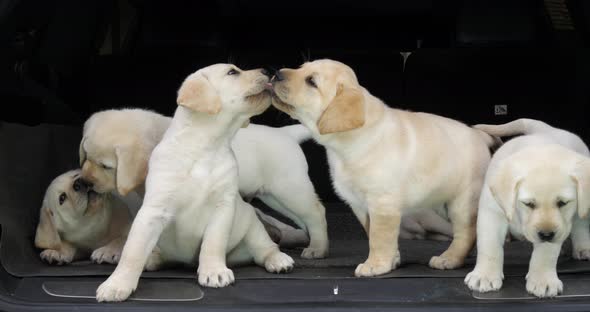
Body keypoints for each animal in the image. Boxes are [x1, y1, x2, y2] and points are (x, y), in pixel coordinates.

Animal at [96, 64, 296, 302]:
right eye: (232, 72)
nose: (267, 71)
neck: (206, 146)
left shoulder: (223, 207)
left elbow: (213, 242)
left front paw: (214, 271)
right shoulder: (154, 210)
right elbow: (133, 251)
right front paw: (117, 284)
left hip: (252, 226)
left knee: (266, 248)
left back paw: (279, 260)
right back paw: (152, 259)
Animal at [270, 59, 500, 278]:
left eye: (311, 81)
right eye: (301, 67)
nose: (276, 73)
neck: (349, 142)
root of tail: (479, 134)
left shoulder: (382, 203)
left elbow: (378, 238)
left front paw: (375, 265)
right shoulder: (360, 205)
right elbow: (375, 234)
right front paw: (392, 260)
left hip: (462, 202)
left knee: (465, 233)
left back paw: (449, 259)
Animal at [468, 119, 590, 298]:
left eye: (562, 203)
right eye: (528, 204)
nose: (546, 234)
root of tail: (546, 130)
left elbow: (545, 254)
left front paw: (543, 281)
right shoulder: (491, 213)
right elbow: (489, 246)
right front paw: (484, 276)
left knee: (581, 224)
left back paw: (583, 248)